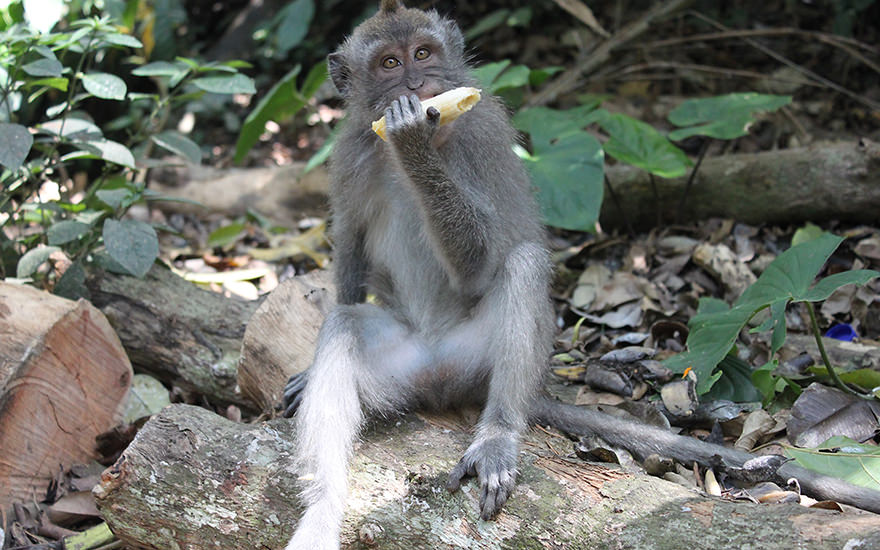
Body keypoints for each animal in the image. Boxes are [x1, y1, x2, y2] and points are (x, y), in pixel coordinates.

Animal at [280, 2, 880, 549]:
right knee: (344, 324)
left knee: (522, 264)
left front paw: (414, 143)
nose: (418, 83)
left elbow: (480, 266)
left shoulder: (480, 134)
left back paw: (498, 435)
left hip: (477, 358)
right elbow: (350, 250)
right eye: (390, 62)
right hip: (404, 370)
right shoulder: (349, 154)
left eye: (423, 54)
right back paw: (324, 507)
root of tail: (443, 377)